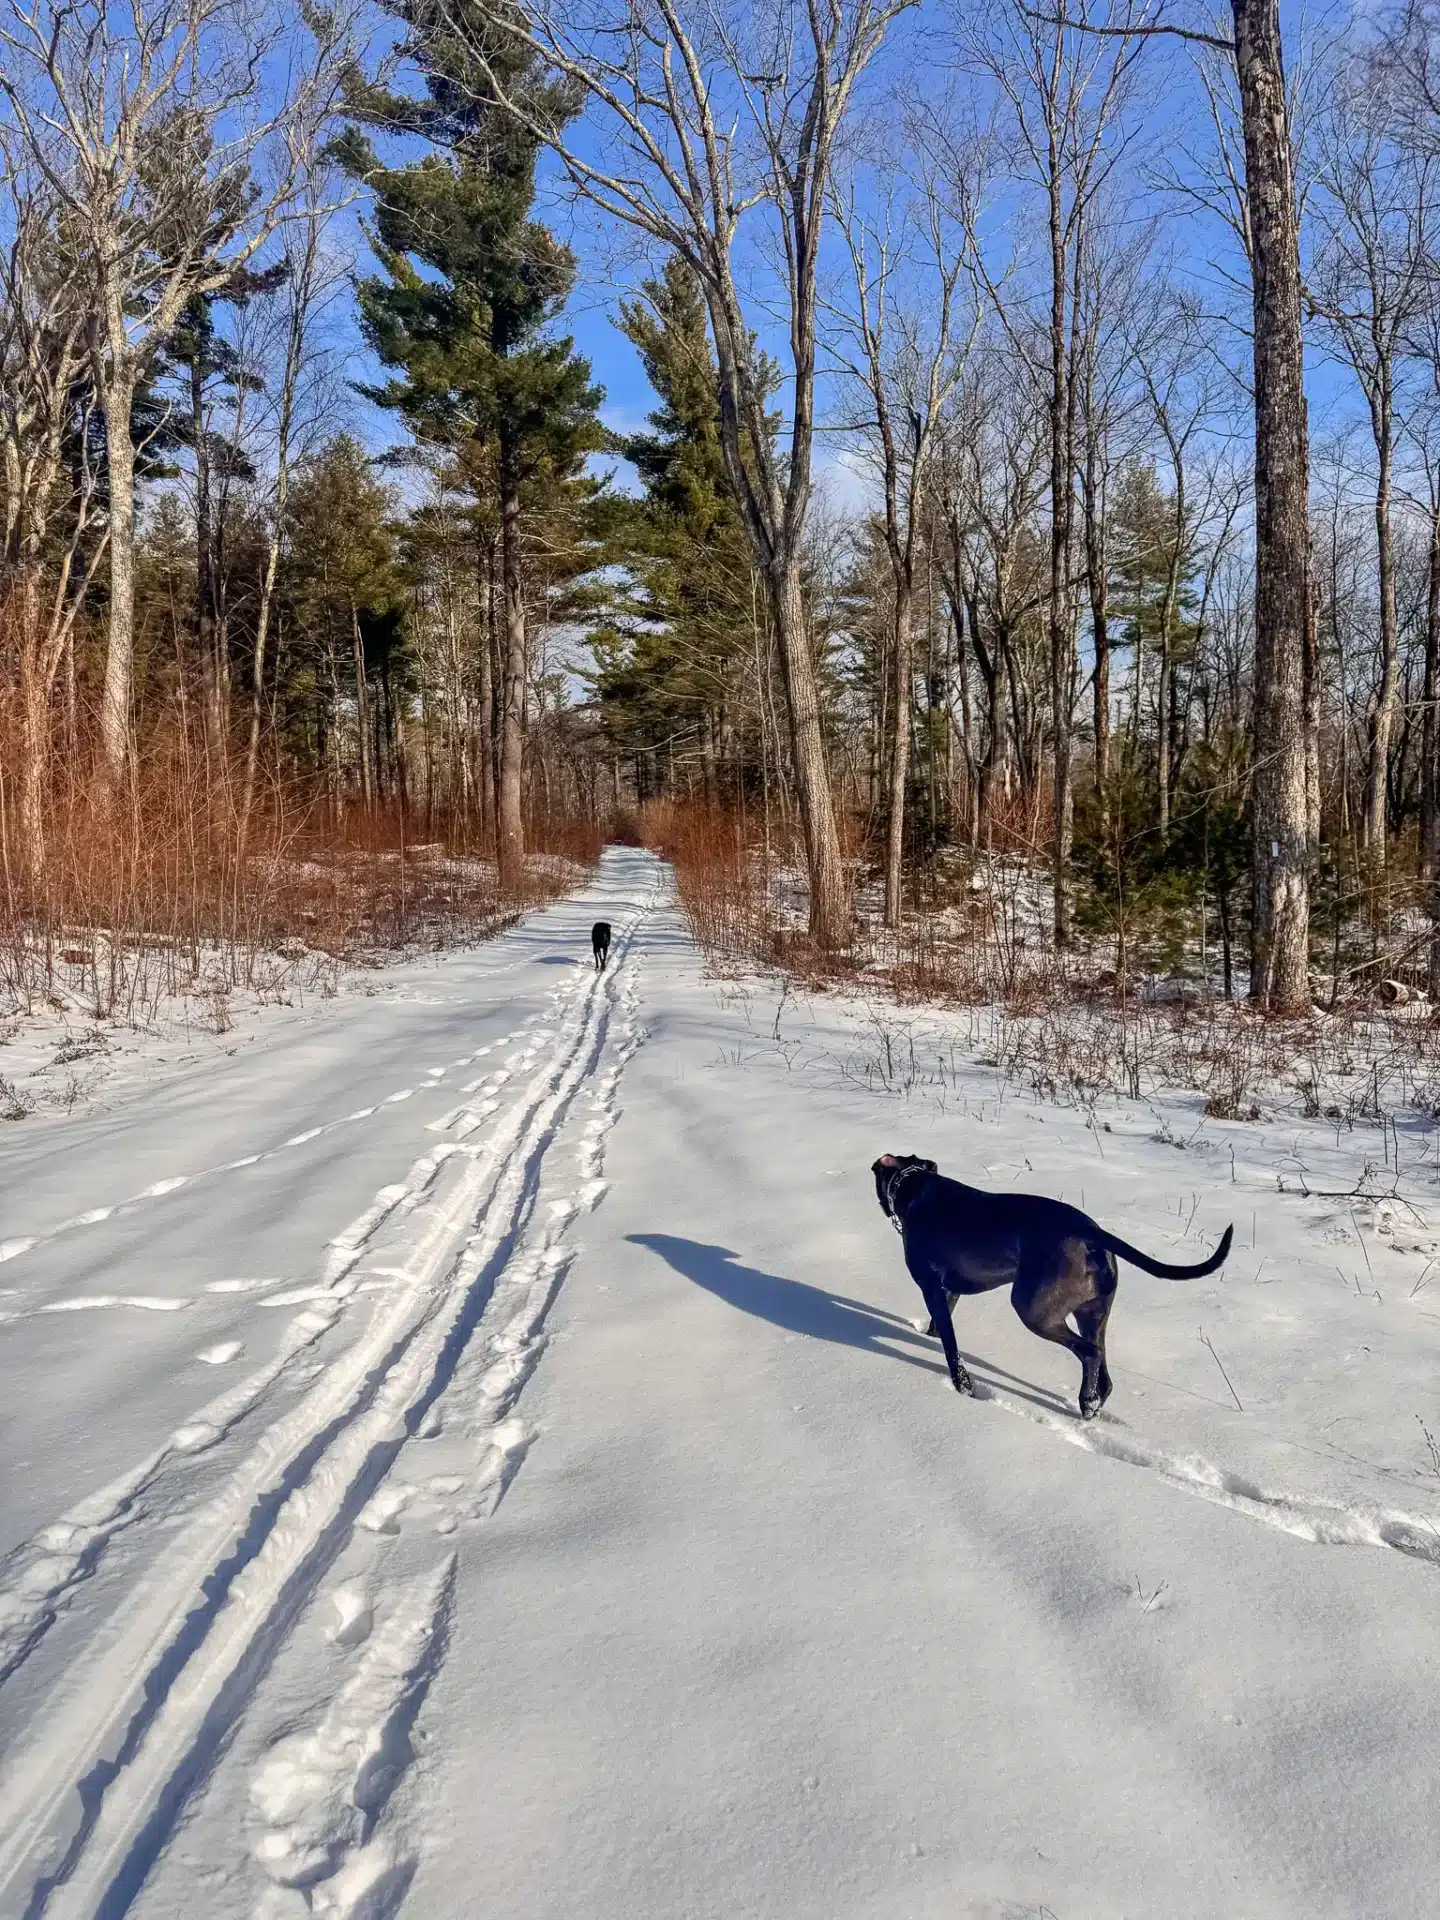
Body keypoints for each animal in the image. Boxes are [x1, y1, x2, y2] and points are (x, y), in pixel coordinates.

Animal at [875, 1144, 1236, 1420]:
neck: (915, 1185)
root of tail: (1090, 1232)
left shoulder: (932, 1288)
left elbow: (952, 1349)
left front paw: (963, 1388)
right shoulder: (948, 1291)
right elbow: (940, 1327)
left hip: (1035, 1310)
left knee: (1089, 1353)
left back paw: (1087, 1403)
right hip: (1092, 1312)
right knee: (1103, 1370)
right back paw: (1092, 1405)